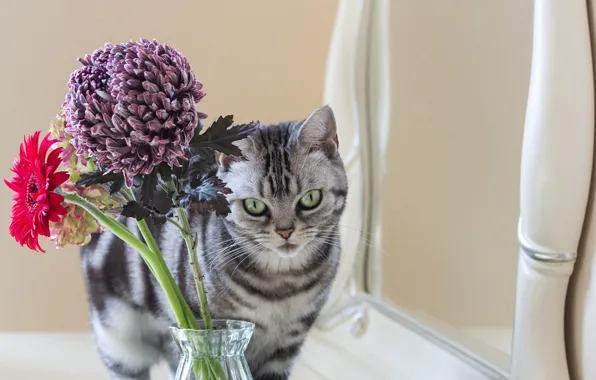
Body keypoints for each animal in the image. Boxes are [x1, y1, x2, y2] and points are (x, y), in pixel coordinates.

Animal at [80, 104, 350, 380]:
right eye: (254, 206)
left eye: (310, 199)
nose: (286, 232)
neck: (282, 283)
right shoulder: (203, 329)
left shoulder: (286, 346)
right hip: (120, 343)